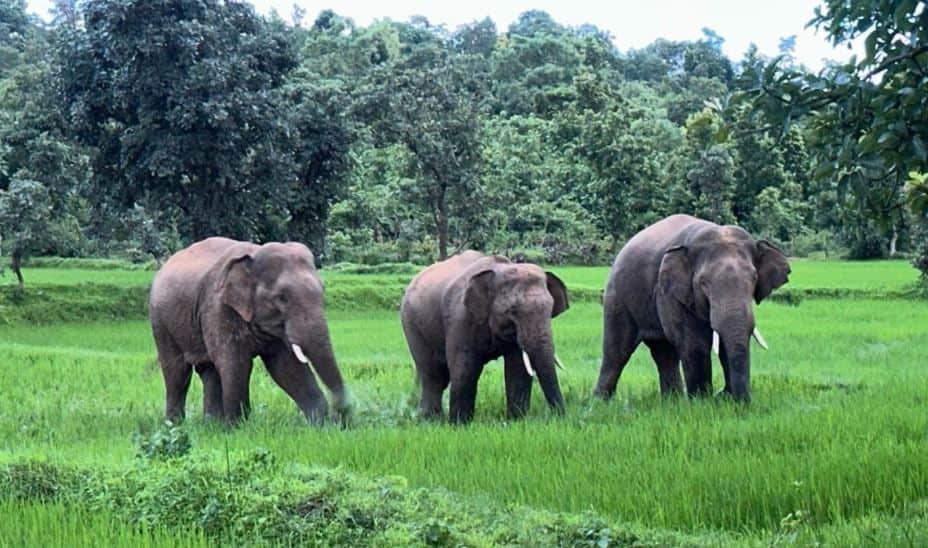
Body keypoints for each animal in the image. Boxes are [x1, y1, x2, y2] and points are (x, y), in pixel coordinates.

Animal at [149, 237, 349, 424]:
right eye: (281, 297)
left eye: (323, 292)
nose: (342, 417)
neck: (254, 253)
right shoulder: (218, 308)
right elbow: (236, 363)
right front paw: (237, 428)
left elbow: (286, 367)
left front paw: (321, 426)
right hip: (160, 322)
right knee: (177, 373)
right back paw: (176, 425)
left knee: (209, 371)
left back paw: (211, 425)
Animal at [400, 251, 570, 423]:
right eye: (512, 310)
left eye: (550, 309)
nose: (560, 417)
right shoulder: (460, 318)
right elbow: (465, 368)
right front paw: (459, 424)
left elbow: (518, 368)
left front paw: (517, 421)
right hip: (411, 324)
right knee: (432, 373)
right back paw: (430, 419)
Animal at [594, 214, 790, 402]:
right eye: (703, 282)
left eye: (754, 278)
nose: (744, 401)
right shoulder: (671, 293)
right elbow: (695, 344)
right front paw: (702, 403)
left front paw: (725, 400)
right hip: (617, 298)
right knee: (617, 353)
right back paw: (601, 403)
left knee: (664, 353)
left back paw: (672, 401)